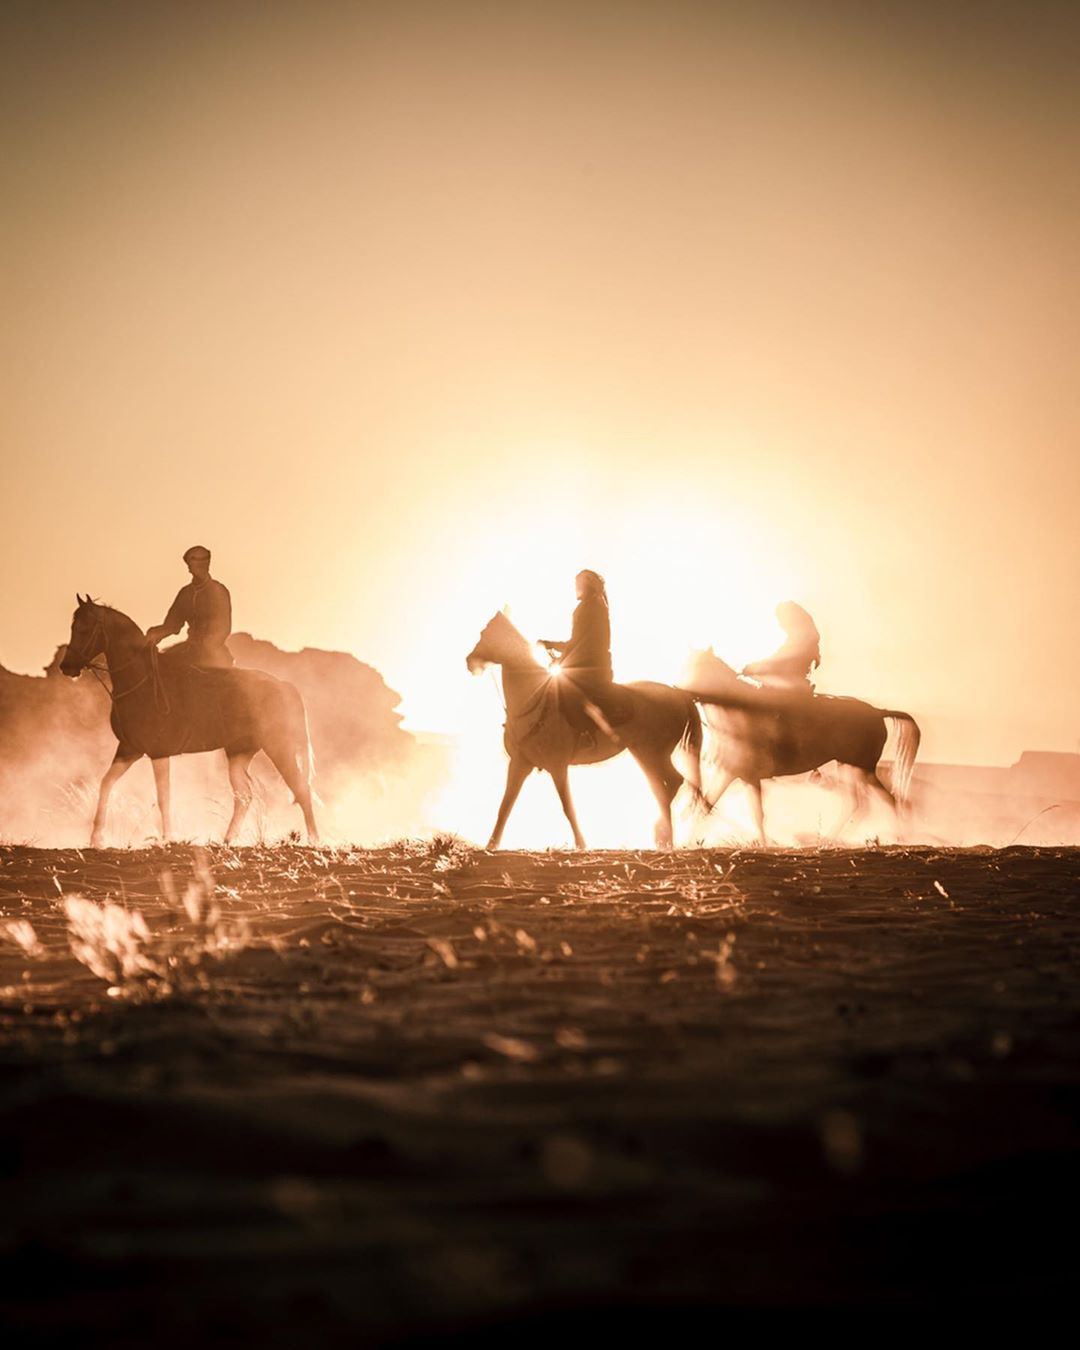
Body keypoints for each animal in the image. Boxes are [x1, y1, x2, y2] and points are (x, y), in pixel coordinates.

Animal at [59, 599, 318, 842]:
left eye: (84, 628)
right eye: (73, 626)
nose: (66, 666)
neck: (141, 680)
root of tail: (284, 686)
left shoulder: (158, 752)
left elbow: (163, 797)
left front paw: (167, 838)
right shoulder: (129, 749)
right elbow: (106, 784)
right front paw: (96, 838)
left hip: (279, 748)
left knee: (301, 788)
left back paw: (314, 840)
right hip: (239, 753)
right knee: (244, 795)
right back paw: (227, 840)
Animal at [464, 610, 707, 847]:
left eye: (485, 633)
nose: (469, 661)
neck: (532, 699)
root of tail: (679, 694)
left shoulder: (557, 766)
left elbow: (567, 806)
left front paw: (581, 844)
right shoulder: (519, 764)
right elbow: (505, 805)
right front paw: (491, 846)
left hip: (652, 754)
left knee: (669, 784)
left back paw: (663, 834)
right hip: (643, 754)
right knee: (663, 786)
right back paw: (664, 837)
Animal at [683, 645, 918, 842]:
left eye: (699, 669)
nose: (681, 689)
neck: (738, 713)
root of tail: (878, 712)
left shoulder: (744, 775)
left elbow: (754, 814)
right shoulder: (732, 773)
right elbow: (707, 805)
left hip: (860, 768)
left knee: (878, 800)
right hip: (851, 767)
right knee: (869, 802)